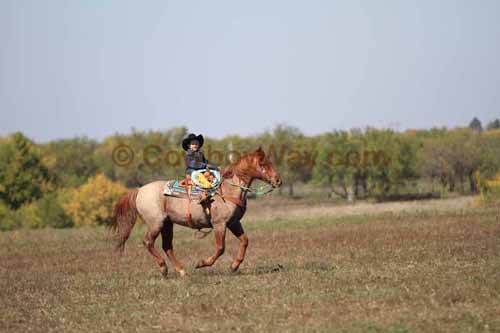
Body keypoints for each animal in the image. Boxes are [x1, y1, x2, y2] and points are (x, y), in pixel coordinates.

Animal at [109, 146, 282, 274]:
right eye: (263, 164)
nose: (278, 180)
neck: (229, 189)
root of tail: (139, 190)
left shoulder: (234, 223)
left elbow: (245, 241)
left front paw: (234, 265)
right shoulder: (220, 224)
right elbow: (221, 248)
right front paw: (202, 263)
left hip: (167, 224)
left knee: (167, 246)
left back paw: (181, 270)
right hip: (155, 223)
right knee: (148, 242)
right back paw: (164, 268)